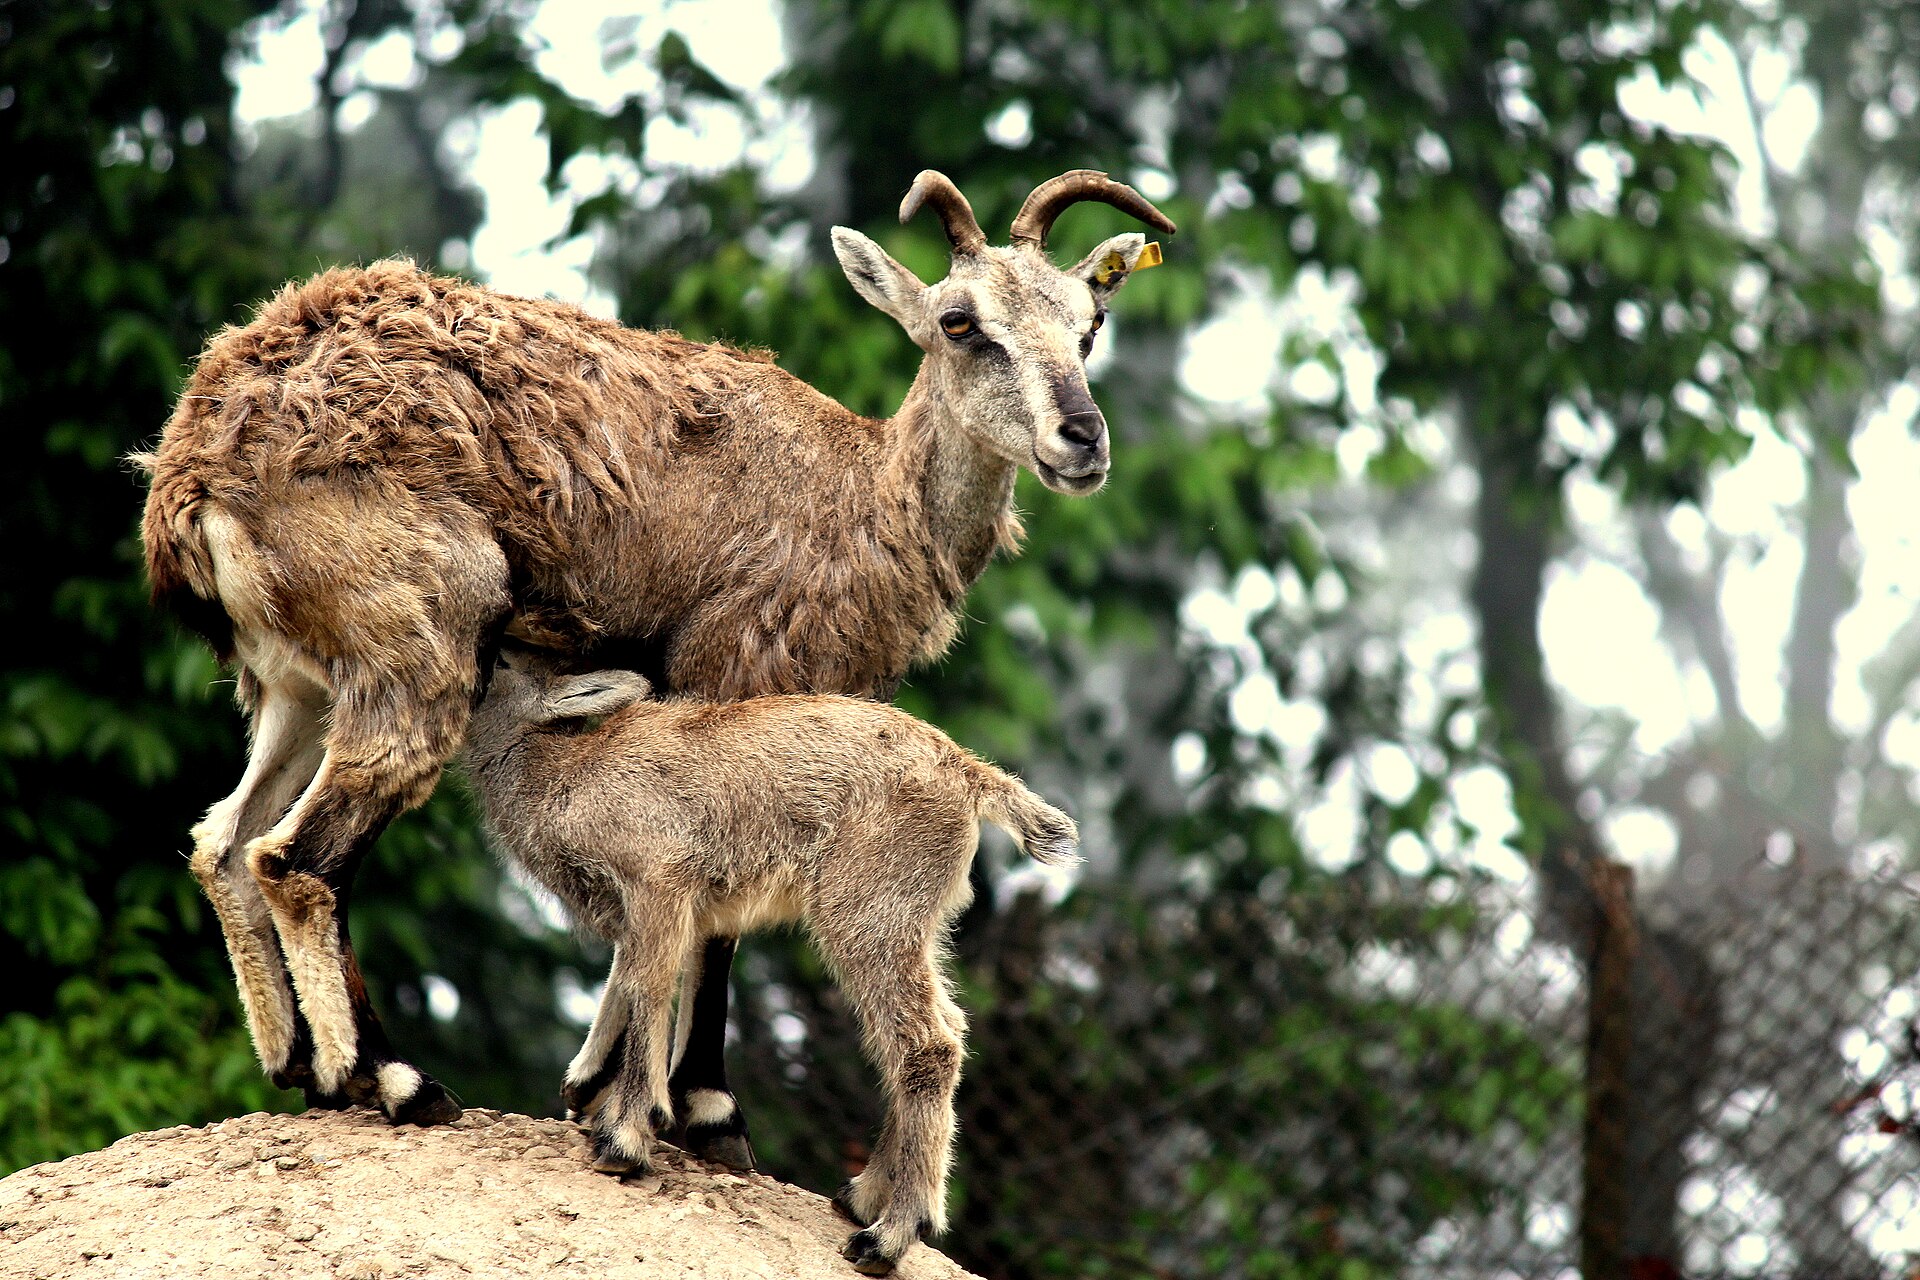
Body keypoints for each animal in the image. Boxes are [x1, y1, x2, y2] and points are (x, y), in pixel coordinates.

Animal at [135, 168, 1171, 1141]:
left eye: (1089, 324)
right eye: (960, 322)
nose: (1081, 439)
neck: (865, 497)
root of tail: (192, 472)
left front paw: (598, 1082)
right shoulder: (735, 673)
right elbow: (715, 920)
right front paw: (706, 1107)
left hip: (295, 686)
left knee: (224, 840)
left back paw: (300, 1067)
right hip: (417, 641)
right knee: (299, 858)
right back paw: (392, 1079)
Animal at [460, 648, 1077, 1276]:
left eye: (496, 668)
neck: (566, 777)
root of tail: (974, 777)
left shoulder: (659, 882)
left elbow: (648, 987)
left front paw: (624, 1136)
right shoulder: (657, 912)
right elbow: (629, 979)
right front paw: (585, 1089)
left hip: (869, 910)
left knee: (927, 1044)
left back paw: (888, 1236)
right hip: (914, 922)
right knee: (946, 1026)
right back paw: (862, 1195)